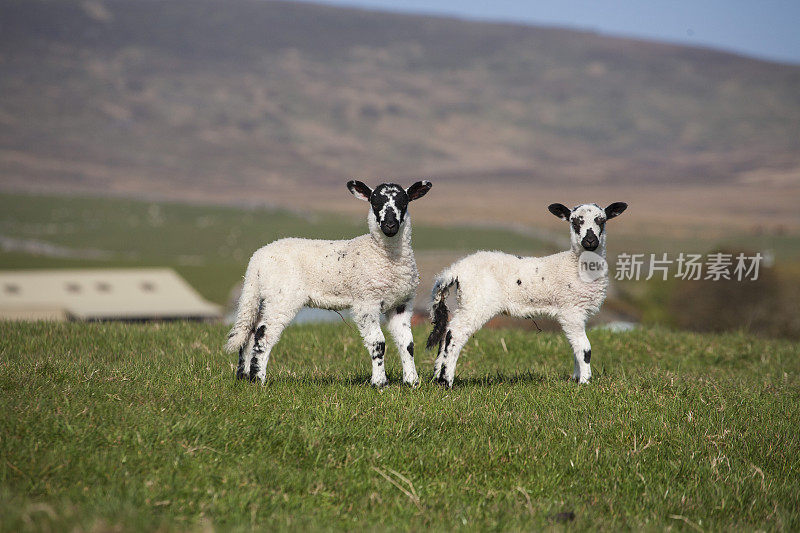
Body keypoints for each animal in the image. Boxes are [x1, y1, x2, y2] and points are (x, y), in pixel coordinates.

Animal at [228, 180, 432, 386]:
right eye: (375, 203)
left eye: (404, 202)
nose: (390, 225)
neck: (382, 255)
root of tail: (256, 260)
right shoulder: (366, 302)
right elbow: (378, 343)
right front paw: (380, 383)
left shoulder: (401, 303)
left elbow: (407, 343)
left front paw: (412, 382)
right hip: (282, 297)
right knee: (263, 333)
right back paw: (258, 379)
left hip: (265, 297)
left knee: (250, 332)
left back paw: (244, 377)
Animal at [428, 202, 628, 384]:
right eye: (574, 221)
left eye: (601, 220)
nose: (590, 241)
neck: (575, 265)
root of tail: (455, 270)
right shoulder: (571, 310)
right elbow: (584, 348)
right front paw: (585, 382)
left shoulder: (579, 312)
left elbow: (575, 347)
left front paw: (576, 378)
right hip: (477, 302)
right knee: (455, 333)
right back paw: (446, 381)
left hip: (466, 301)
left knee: (445, 334)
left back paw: (437, 377)